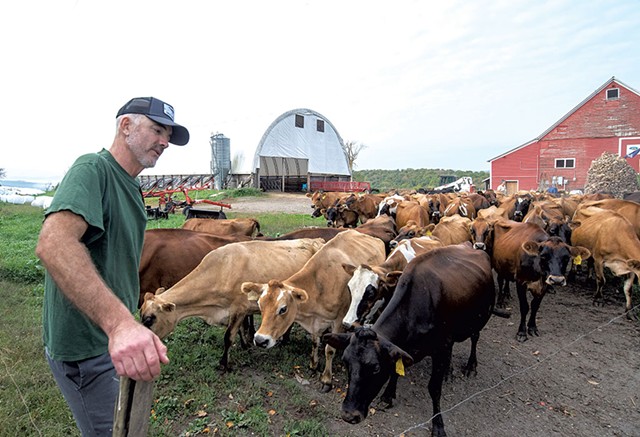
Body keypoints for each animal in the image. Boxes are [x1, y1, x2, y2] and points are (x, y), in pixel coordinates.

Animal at [324, 244, 500, 436]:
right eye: (346, 362)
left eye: (376, 367)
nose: (349, 415)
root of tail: (473, 247)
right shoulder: (400, 347)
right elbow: (395, 370)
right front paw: (388, 395)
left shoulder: (439, 348)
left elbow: (434, 388)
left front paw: (438, 425)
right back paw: (449, 371)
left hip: (482, 316)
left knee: (475, 338)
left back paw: (470, 366)